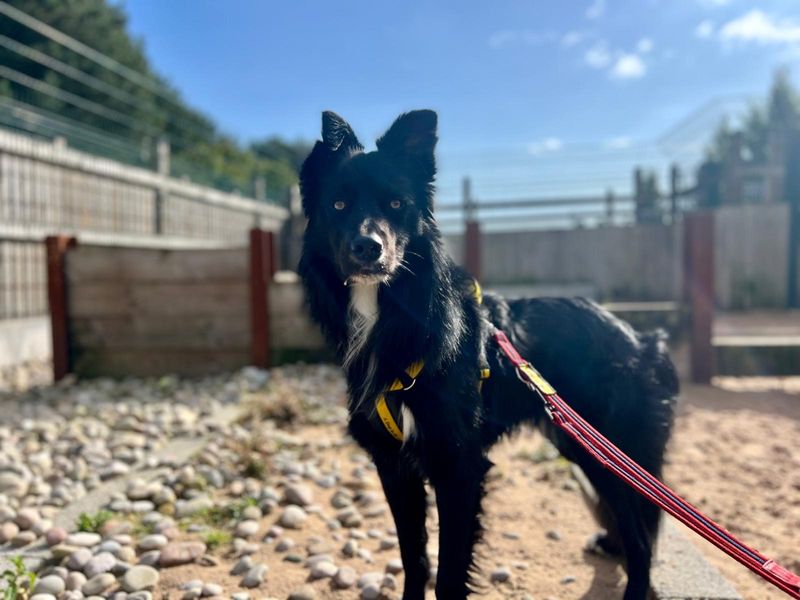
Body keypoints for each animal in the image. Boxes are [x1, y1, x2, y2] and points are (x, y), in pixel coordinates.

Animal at [296, 110, 680, 596]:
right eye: (339, 205)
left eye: (397, 204)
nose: (368, 247)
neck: (398, 323)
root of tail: (645, 340)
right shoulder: (394, 466)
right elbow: (414, 558)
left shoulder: (459, 467)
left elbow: (448, 573)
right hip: (583, 444)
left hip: (608, 452)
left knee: (643, 541)